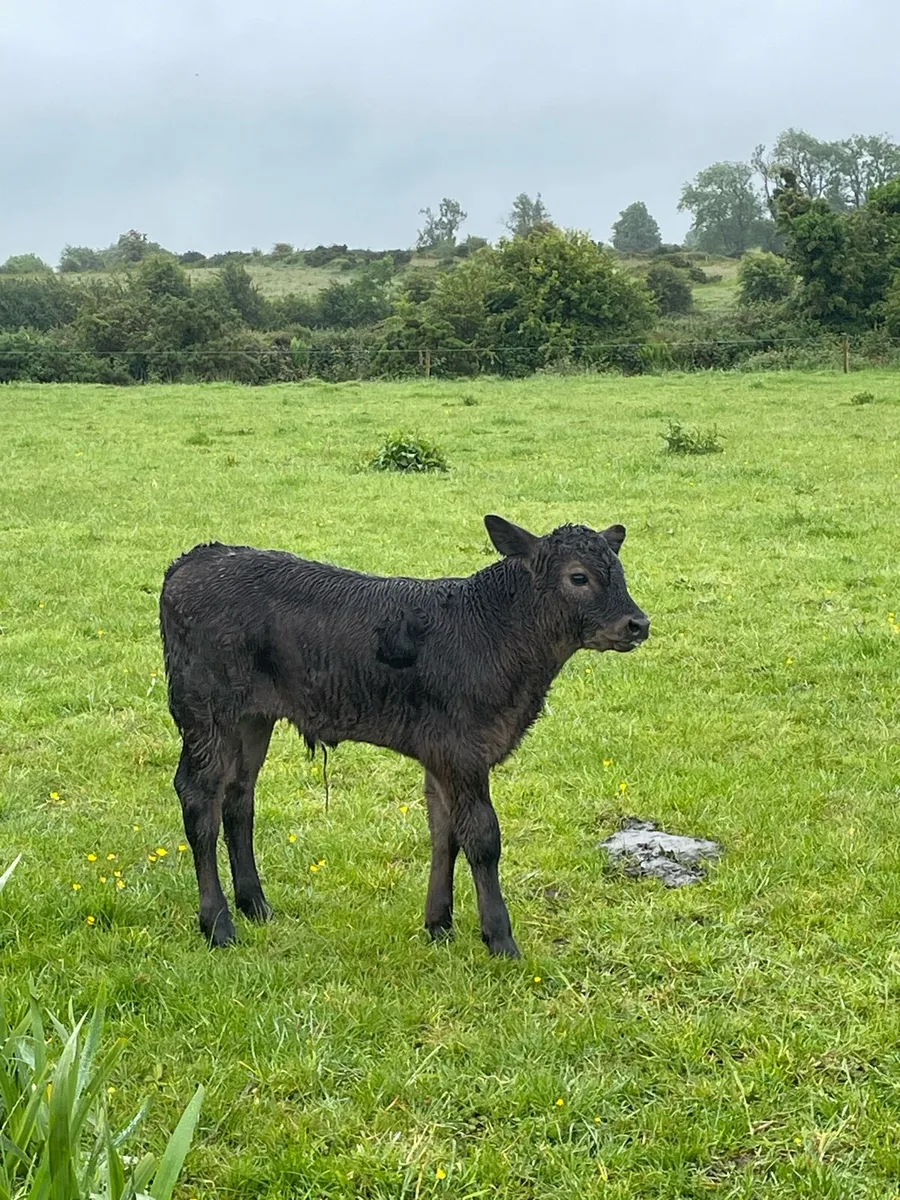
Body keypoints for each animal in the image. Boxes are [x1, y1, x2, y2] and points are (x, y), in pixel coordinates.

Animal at [159, 514, 650, 957]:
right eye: (578, 576)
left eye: (620, 571)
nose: (638, 624)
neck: (493, 633)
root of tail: (197, 557)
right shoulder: (463, 749)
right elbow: (482, 837)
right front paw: (500, 939)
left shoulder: (441, 753)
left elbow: (445, 831)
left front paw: (439, 924)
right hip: (206, 711)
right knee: (200, 798)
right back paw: (218, 924)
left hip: (253, 717)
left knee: (239, 796)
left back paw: (255, 904)